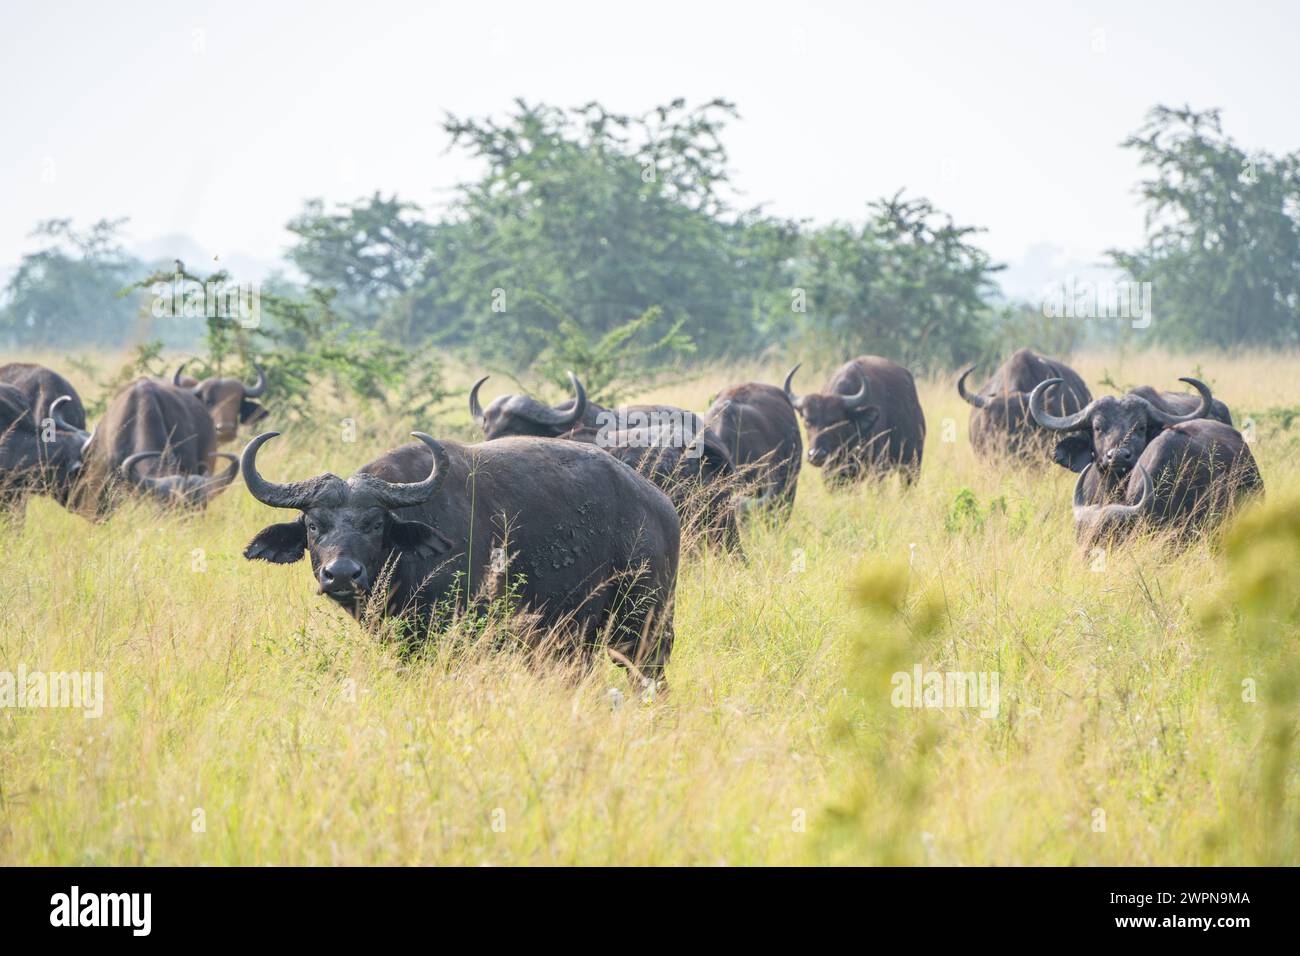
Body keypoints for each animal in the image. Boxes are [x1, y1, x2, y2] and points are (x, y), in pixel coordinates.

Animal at [780, 356, 925, 486]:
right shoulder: (831, 472)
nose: (816, 455)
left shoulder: (877, 468)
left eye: (836, 421)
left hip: (912, 464)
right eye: (807, 421)